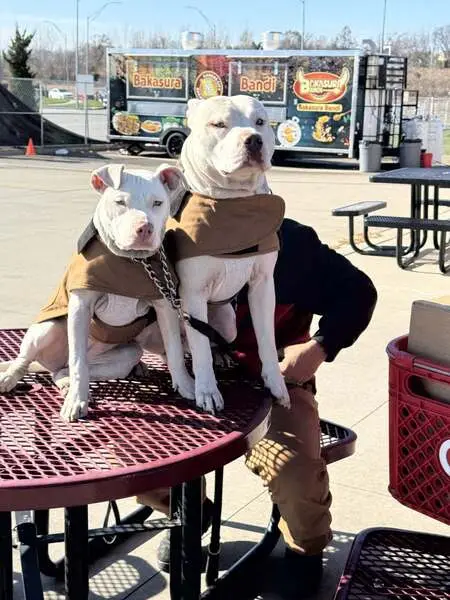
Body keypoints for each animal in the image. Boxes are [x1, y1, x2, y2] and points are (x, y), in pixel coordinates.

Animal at [0, 163, 195, 421]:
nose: (144, 228)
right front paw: (77, 401)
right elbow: (78, 361)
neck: (130, 261)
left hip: (128, 352)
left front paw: (187, 386)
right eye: (120, 202)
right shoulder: (81, 307)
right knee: (29, 359)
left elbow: (174, 351)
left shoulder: (164, 306)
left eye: (157, 203)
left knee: (63, 370)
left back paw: (68, 383)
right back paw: (11, 377)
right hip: (46, 329)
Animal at [167, 94, 290, 414]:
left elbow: (266, 338)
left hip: (226, 319)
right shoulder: (193, 292)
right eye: (218, 124)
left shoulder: (263, 284)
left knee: (217, 339)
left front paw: (276, 383)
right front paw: (207, 391)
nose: (254, 140)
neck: (233, 202)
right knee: (183, 344)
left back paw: (222, 354)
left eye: (260, 122)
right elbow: (199, 348)